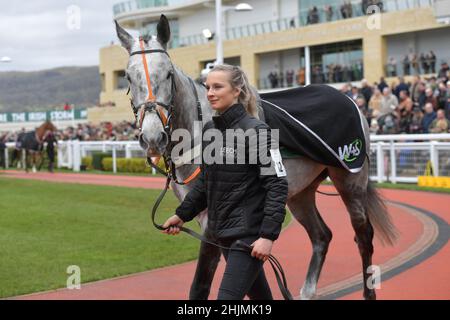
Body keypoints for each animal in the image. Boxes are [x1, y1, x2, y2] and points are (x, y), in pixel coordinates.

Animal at [115, 15, 398, 300]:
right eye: (128, 77)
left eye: (168, 73)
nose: (152, 137)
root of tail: (346, 98)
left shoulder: (213, 220)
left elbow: (202, 284)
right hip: (299, 193)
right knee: (321, 235)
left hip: (351, 180)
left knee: (364, 235)